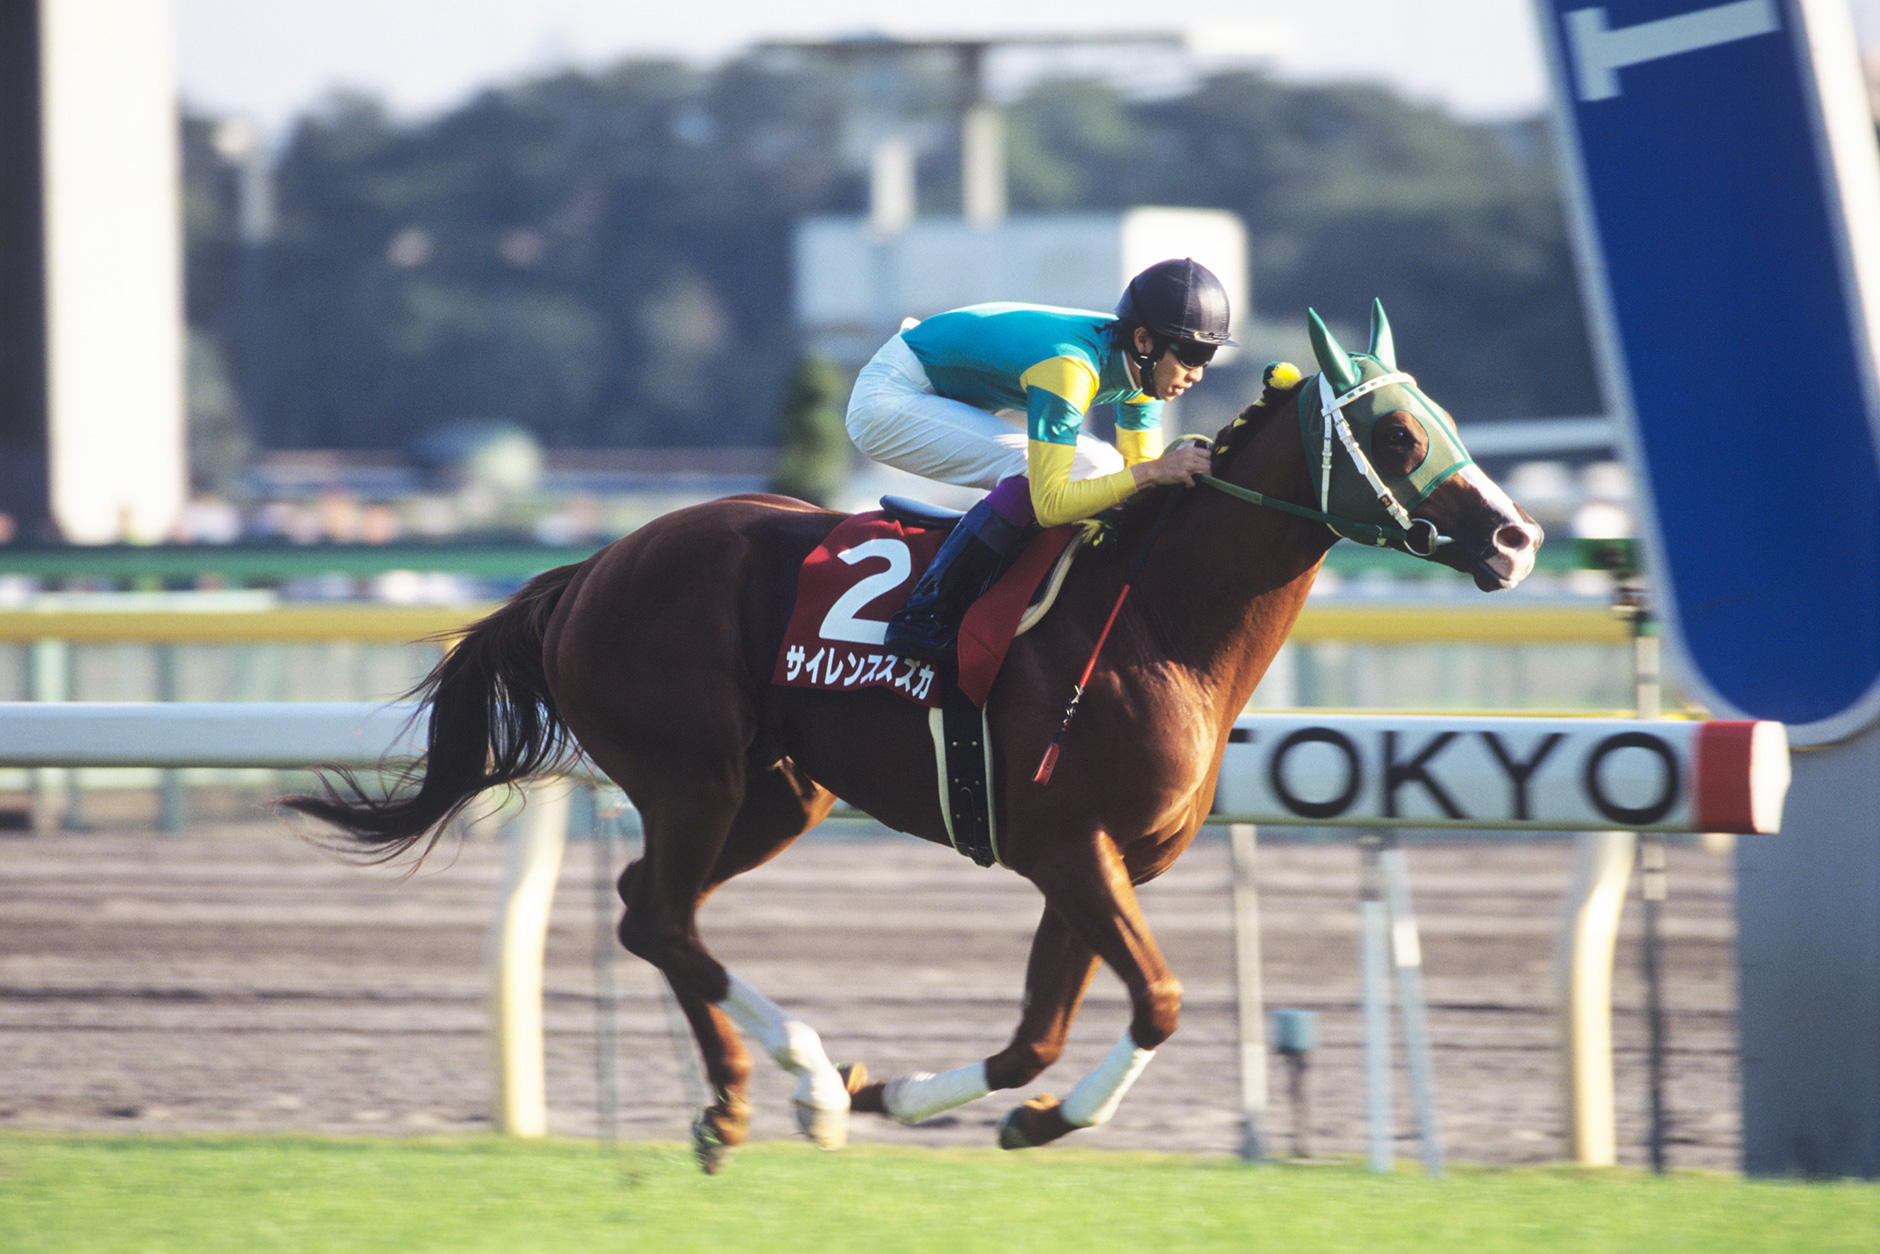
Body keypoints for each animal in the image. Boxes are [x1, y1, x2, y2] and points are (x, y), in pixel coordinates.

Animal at [288, 303, 1542, 1171]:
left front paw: (936, 1101)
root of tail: (590, 566)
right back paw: (777, 1087)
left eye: (1440, 419)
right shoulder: (1067, 849)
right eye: (1393, 429)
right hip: (691, 774)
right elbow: (1159, 1000)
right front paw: (965, 1107)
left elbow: (1038, 1033)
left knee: (654, 912)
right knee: (664, 917)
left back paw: (768, 1095)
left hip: (776, 791)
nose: (1516, 538)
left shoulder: (1097, 862)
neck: (1156, 624)